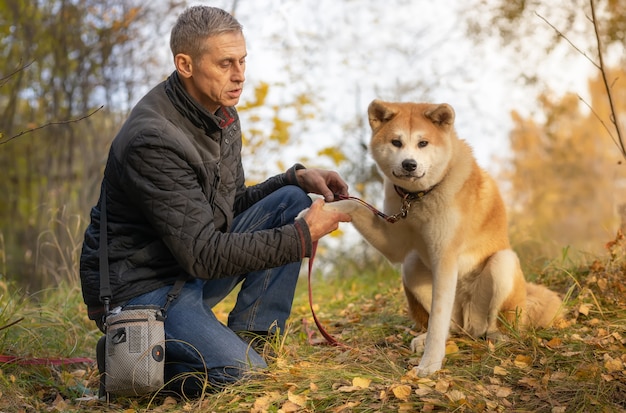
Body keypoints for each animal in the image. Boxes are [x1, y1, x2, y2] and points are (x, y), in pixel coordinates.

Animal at [324, 100, 564, 376]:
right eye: (396, 142)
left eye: (423, 143)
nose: (409, 164)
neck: (418, 199)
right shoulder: (396, 245)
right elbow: (354, 206)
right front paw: (320, 209)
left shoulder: (445, 257)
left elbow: (437, 322)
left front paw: (429, 365)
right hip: (413, 266)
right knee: (450, 326)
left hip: (501, 265)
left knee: (491, 324)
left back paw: (497, 337)